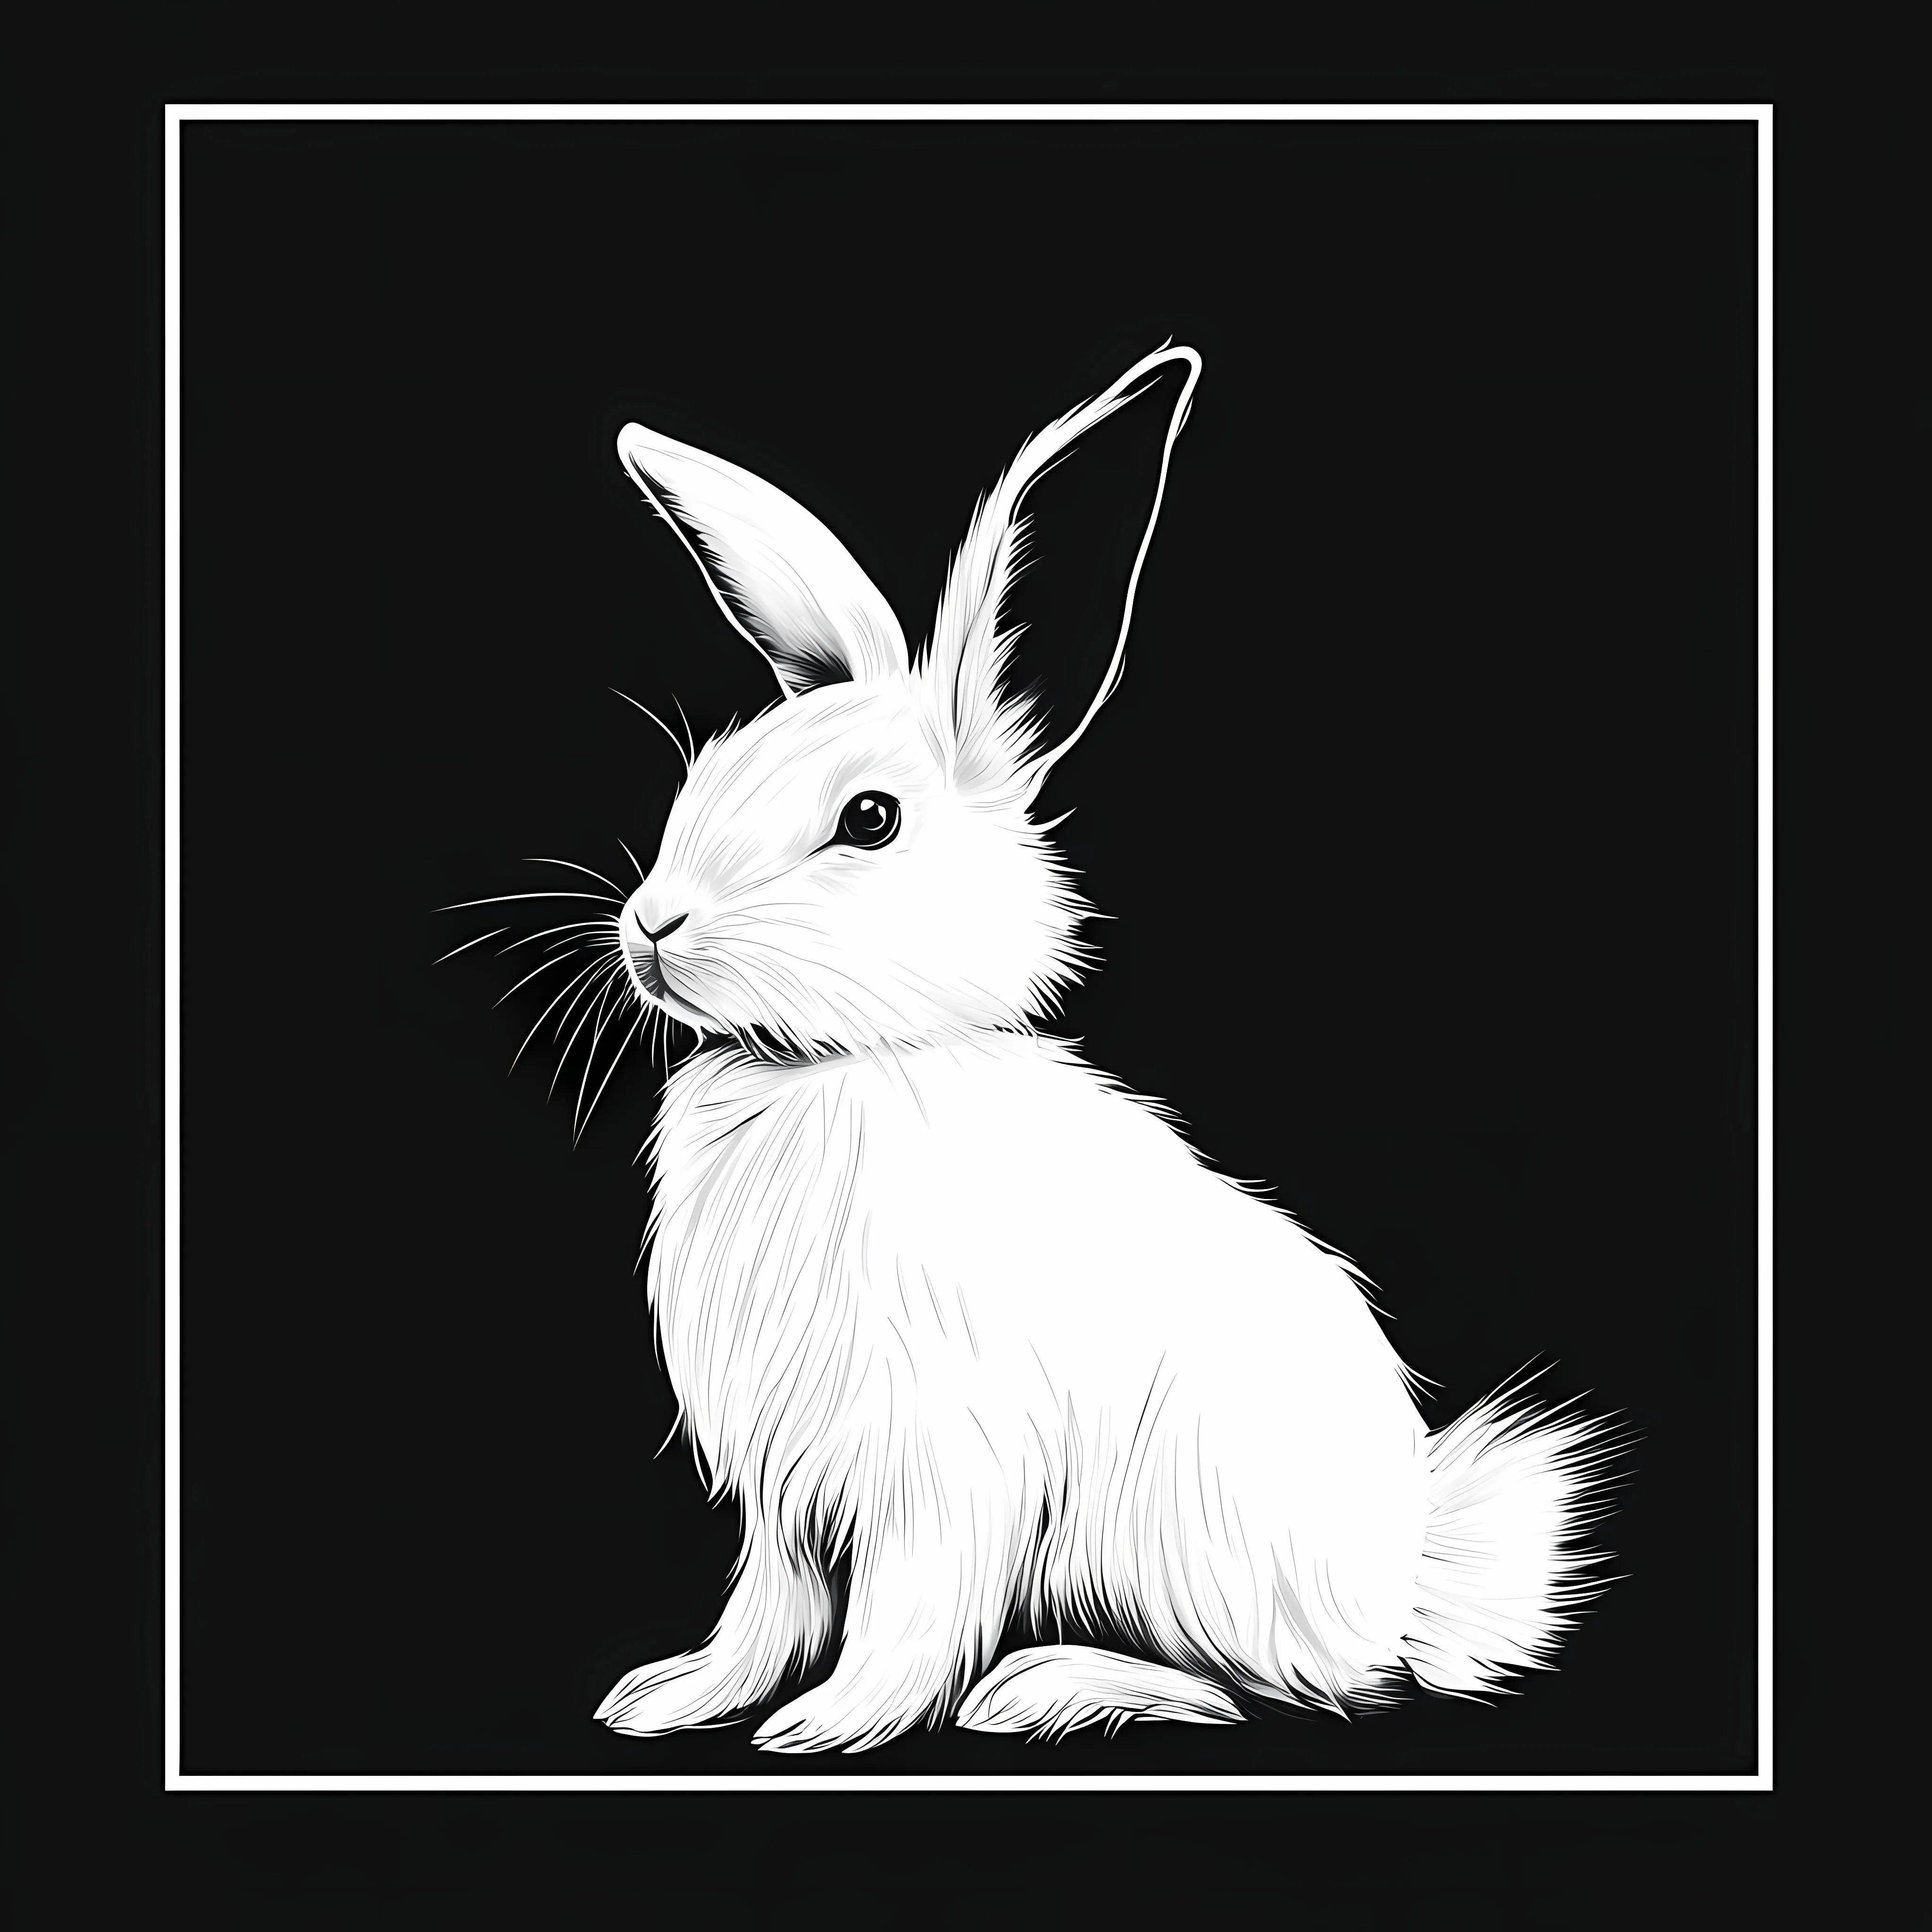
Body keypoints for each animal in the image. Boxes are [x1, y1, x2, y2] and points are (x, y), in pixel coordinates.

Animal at [572, 345, 1621, 1753]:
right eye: (707, 777)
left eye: (869, 819)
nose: (651, 930)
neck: (841, 1061)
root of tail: (1396, 1590)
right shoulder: (784, 1492)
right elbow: (767, 1606)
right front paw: (676, 1698)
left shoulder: (945, 1464)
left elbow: (908, 1610)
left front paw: (832, 1725)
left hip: (1186, 1546)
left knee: (1263, 1692)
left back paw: (1043, 1689)